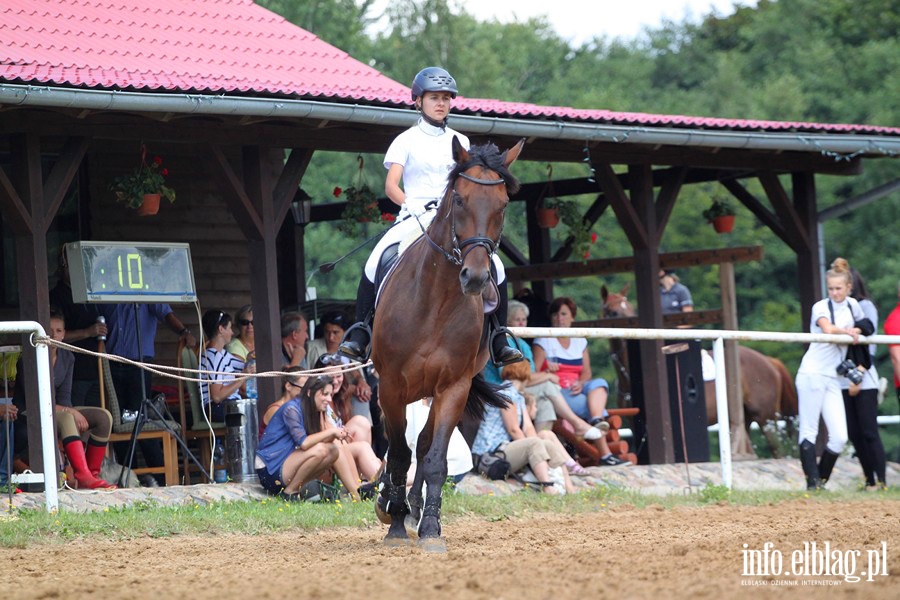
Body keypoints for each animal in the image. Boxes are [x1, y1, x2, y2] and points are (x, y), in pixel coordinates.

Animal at [372, 138, 528, 552]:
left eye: (503, 204)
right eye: (459, 199)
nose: (475, 278)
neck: (436, 301)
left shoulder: (453, 387)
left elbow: (435, 459)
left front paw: (429, 527)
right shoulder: (390, 386)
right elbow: (397, 454)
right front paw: (394, 523)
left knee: (423, 444)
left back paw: (412, 508)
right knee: (397, 447)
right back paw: (391, 506)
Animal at [600, 284, 800, 458]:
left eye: (631, 309)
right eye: (613, 312)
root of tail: (769, 361)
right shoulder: (635, 424)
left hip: (765, 418)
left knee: (778, 451)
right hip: (747, 419)